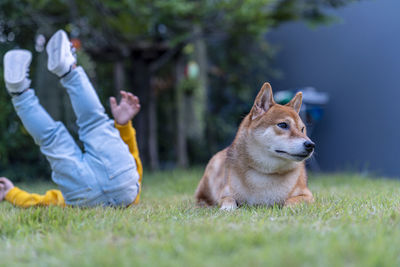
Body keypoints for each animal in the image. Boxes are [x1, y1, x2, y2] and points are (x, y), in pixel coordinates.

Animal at [196, 82, 316, 210]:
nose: (310, 145)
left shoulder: (308, 196)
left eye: (302, 129)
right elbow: (228, 199)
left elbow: (291, 201)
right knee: (200, 199)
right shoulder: (224, 193)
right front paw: (227, 208)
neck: (265, 173)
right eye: (283, 125)